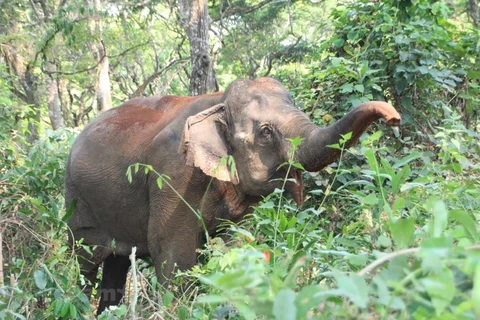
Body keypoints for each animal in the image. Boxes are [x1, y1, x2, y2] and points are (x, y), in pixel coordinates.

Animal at [64, 76, 402, 314]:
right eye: (265, 132)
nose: (394, 117)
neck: (217, 103)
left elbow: (231, 244)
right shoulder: (172, 172)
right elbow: (171, 251)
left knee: (115, 266)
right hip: (77, 203)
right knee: (83, 264)